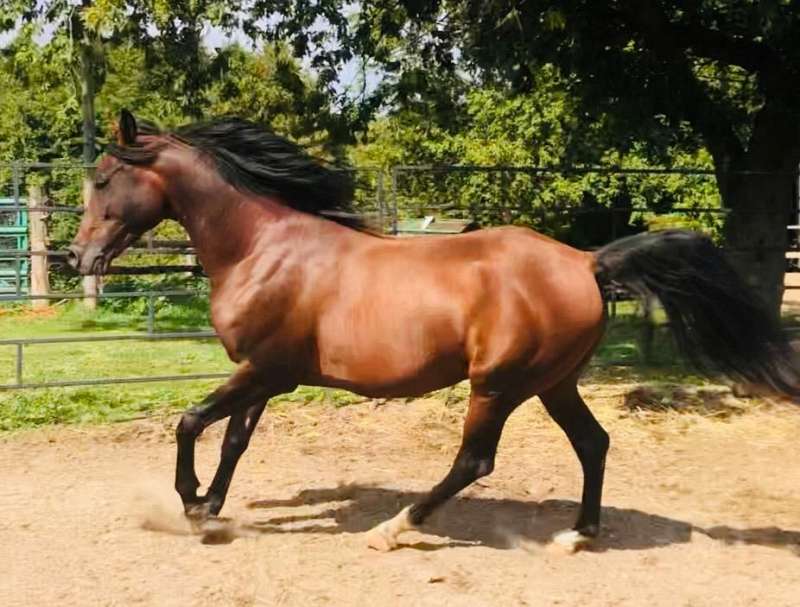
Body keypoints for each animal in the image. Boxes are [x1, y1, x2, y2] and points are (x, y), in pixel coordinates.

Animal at [67, 110, 799, 552]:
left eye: (103, 178)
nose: (79, 257)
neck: (263, 250)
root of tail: (586, 262)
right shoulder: (267, 374)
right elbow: (234, 440)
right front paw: (211, 508)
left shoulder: (267, 369)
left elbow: (191, 422)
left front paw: (190, 503)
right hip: (554, 381)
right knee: (593, 442)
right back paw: (577, 534)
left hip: (499, 384)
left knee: (475, 461)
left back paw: (396, 527)